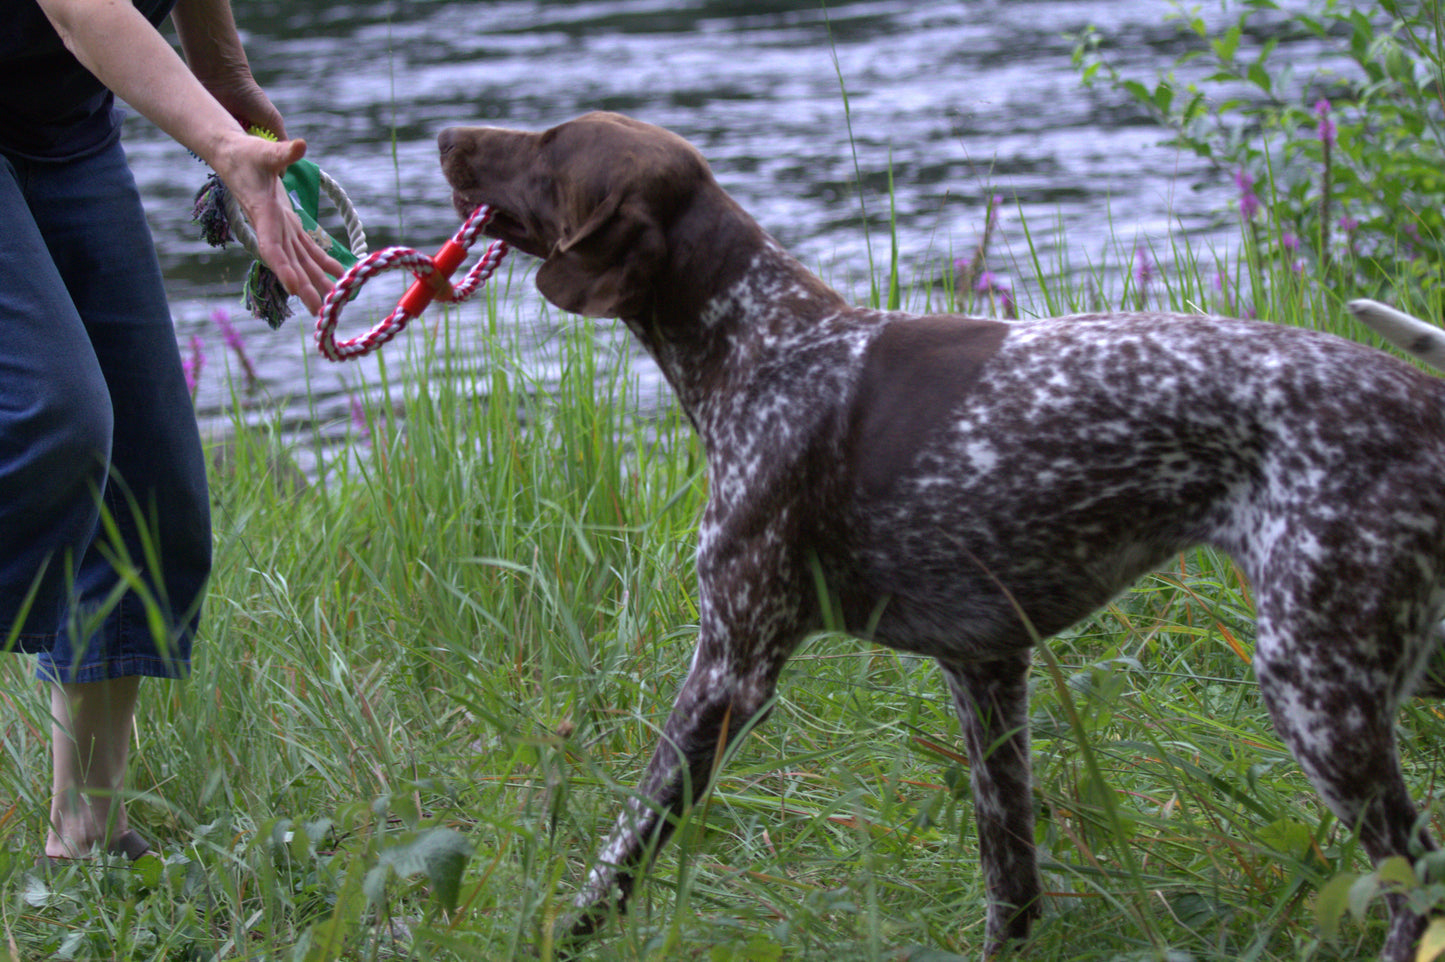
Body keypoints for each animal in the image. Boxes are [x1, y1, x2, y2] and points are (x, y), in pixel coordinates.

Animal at [436, 108, 1445, 953]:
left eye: (549, 144)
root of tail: (1423, 396)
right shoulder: (986, 670)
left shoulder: (730, 669)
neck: (763, 345)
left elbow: (622, 847)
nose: (447, 134)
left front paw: (561, 936)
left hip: (1314, 684)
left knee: (1412, 879)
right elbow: (1011, 878)